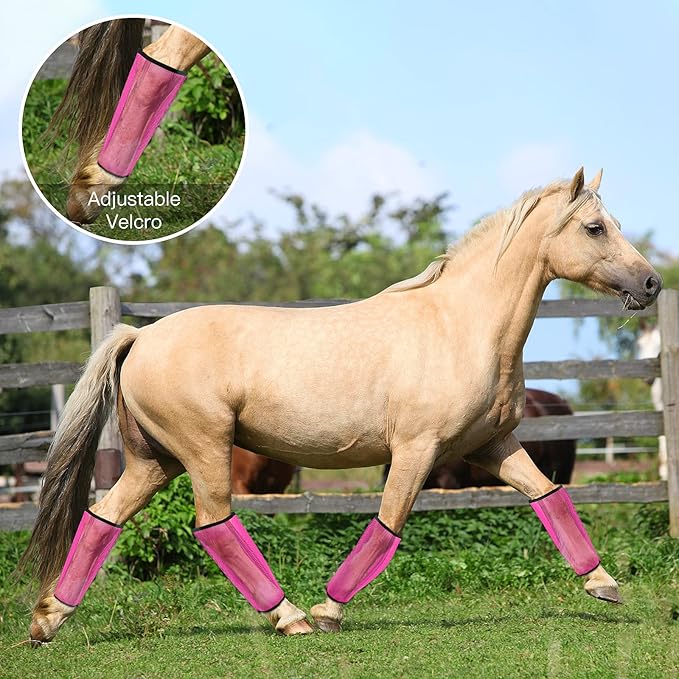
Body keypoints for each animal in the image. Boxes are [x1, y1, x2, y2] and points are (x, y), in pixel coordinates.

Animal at [21, 168, 662, 644]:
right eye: (595, 227)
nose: (652, 284)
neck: (459, 326)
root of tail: (140, 336)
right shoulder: (417, 451)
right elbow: (389, 523)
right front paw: (330, 611)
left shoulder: (491, 445)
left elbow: (548, 495)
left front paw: (603, 584)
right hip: (203, 452)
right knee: (213, 524)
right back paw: (291, 618)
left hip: (155, 461)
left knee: (103, 517)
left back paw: (47, 619)